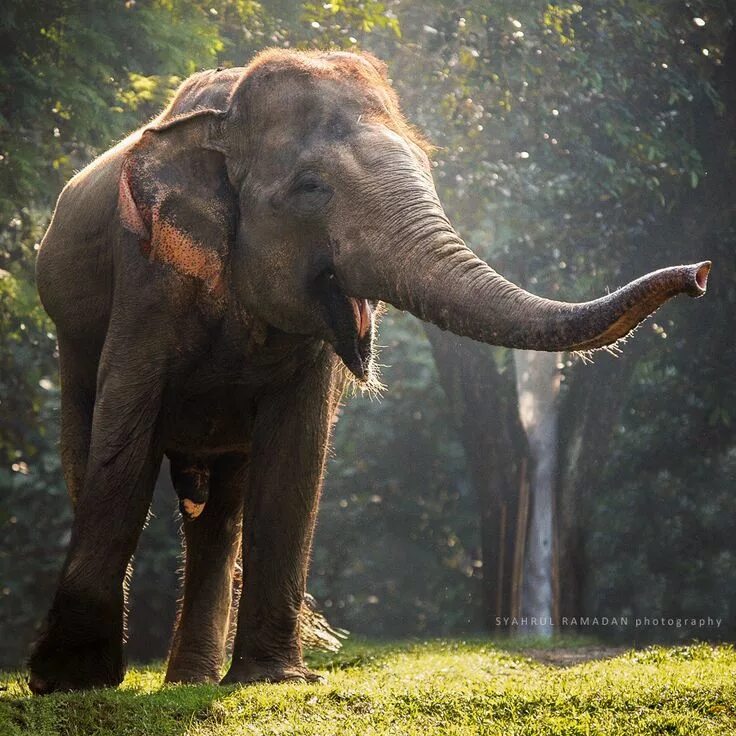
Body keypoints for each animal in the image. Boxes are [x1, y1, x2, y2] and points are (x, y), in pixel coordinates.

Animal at [29, 48, 710, 693]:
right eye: (310, 186)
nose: (701, 272)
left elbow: (295, 455)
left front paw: (274, 679)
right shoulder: (144, 279)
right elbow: (124, 441)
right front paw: (69, 681)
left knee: (220, 511)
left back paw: (191, 680)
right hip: (71, 341)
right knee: (88, 454)